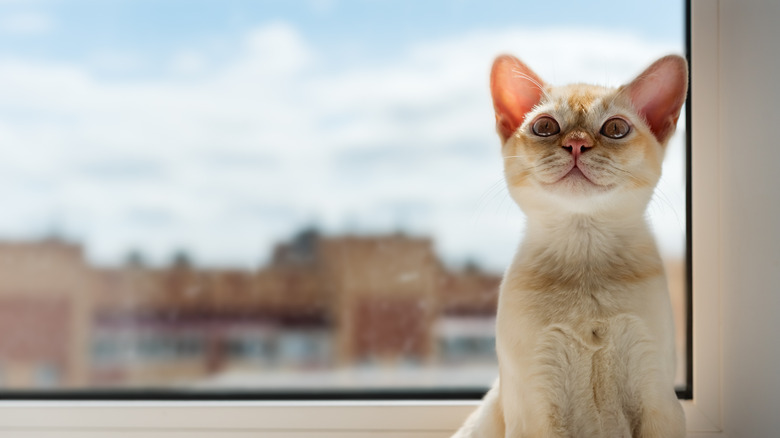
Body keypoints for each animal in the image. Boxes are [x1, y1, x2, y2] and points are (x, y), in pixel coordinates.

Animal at [450, 55, 688, 438]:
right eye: (545, 127)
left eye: (615, 129)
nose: (576, 144)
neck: (584, 252)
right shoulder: (536, 408)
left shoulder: (656, 400)